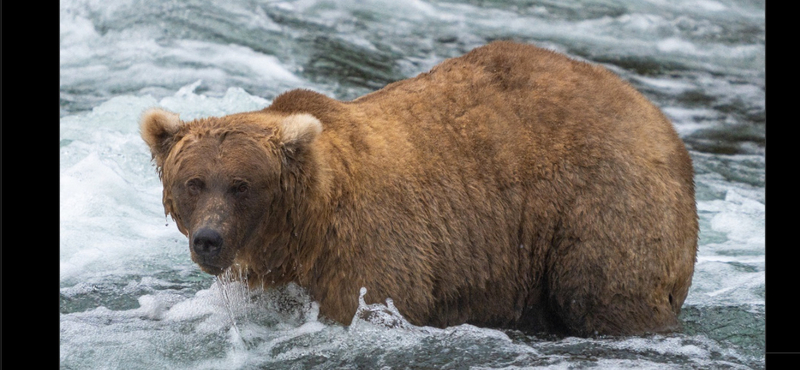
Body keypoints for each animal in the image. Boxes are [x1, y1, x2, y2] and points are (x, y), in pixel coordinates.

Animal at [141, 40, 696, 336]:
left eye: (242, 185)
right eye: (193, 183)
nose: (208, 240)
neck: (303, 230)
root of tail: (658, 118)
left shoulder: (371, 250)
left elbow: (373, 301)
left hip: (601, 205)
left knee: (602, 293)